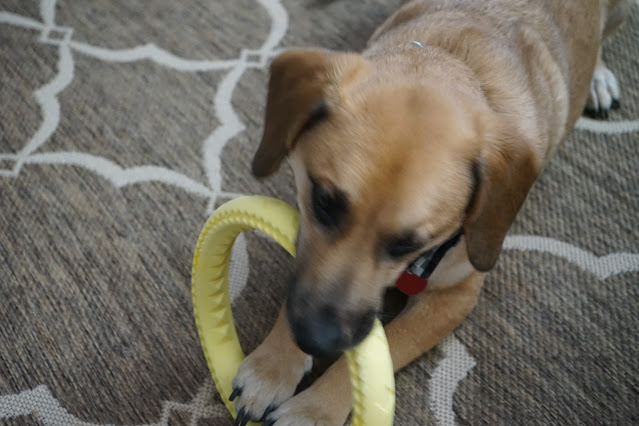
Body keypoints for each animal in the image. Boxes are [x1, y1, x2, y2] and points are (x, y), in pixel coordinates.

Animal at [229, 1, 632, 424]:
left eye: (410, 243)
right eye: (323, 201)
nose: (314, 338)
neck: (453, 58)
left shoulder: (453, 298)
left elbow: (386, 355)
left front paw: (314, 409)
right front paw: (273, 365)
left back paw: (599, 77)